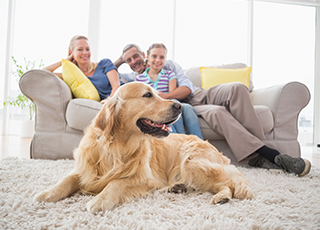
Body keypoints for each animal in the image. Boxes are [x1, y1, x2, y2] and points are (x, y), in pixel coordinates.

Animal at [35, 82, 254, 213]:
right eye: (148, 95)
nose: (179, 106)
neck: (117, 146)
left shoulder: (143, 178)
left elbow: (116, 183)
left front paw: (100, 200)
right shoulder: (84, 170)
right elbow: (67, 179)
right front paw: (47, 194)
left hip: (192, 162)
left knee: (229, 182)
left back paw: (222, 196)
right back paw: (176, 187)